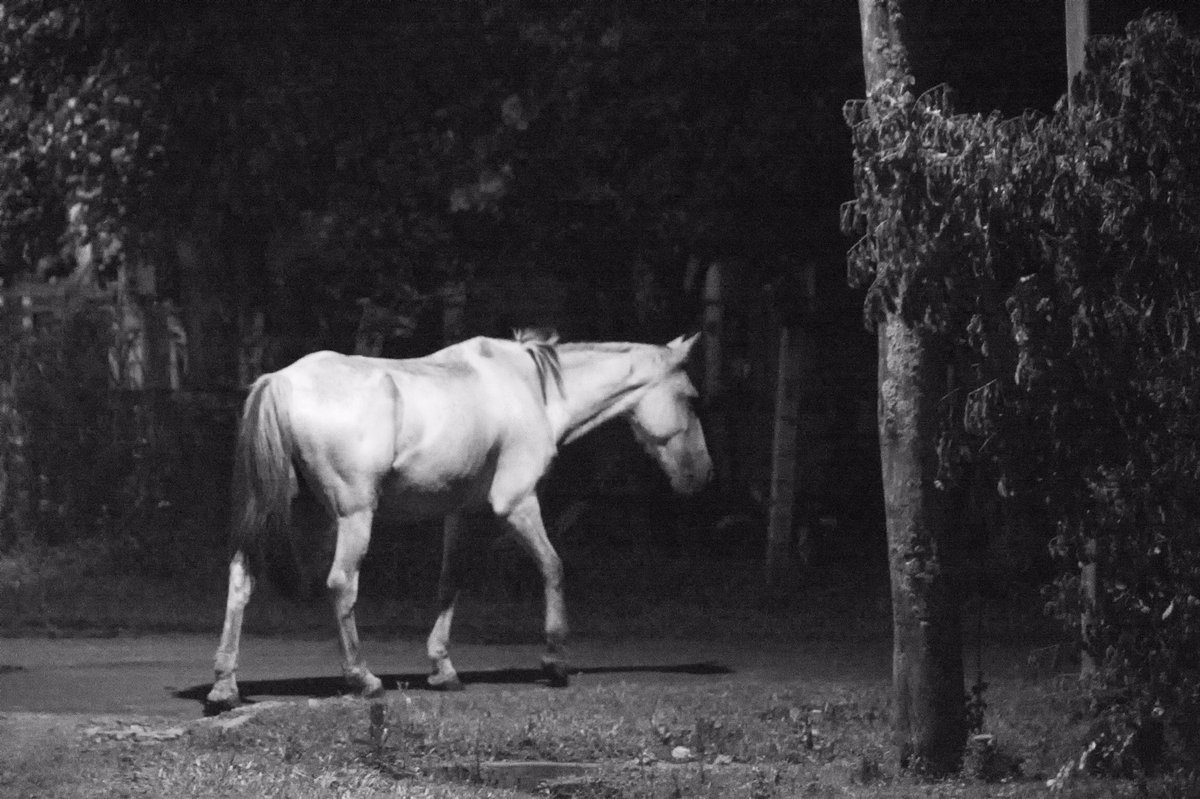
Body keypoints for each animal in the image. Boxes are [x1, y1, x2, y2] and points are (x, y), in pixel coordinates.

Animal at [205, 329, 711, 711]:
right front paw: (554, 659)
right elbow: (553, 568)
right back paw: (362, 677)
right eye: (690, 397)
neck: (531, 387)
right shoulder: (517, 502)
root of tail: (281, 381)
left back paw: (225, 685)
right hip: (354, 518)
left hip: (280, 514)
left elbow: (450, 583)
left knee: (240, 580)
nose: (701, 474)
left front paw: (443, 668)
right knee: (341, 584)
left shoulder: (460, 514)